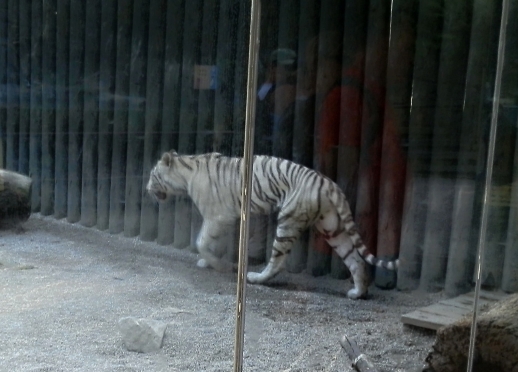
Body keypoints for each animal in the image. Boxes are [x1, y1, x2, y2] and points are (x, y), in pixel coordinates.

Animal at [148, 150, 400, 298]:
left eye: (152, 175)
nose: (147, 188)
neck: (185, 170)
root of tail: (328, 183)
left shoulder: (218, 216)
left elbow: (201, 241)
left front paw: (218, 265)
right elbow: (211, 242)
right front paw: (208, 261)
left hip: (288, 221)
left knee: (278, 261)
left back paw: (256, 278)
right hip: (332, 228)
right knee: (355, 259)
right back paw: (357, 292)